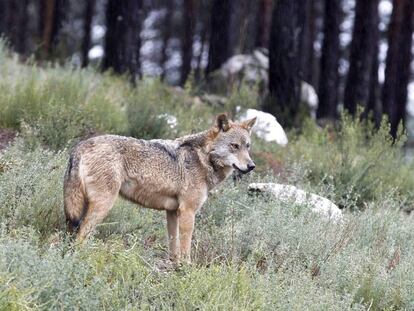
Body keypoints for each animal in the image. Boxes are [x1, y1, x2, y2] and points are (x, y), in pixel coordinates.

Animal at [63, 113, 256, 262]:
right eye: (234, 146)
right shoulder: (188, 211)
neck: (203, 158)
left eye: (247, 146)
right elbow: (185, 248)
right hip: (103, 206)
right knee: (81, 235)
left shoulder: (172, 212)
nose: (251, 166)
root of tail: (80, 146)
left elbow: (173, 247)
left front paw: (175, 267)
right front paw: (187, 270)